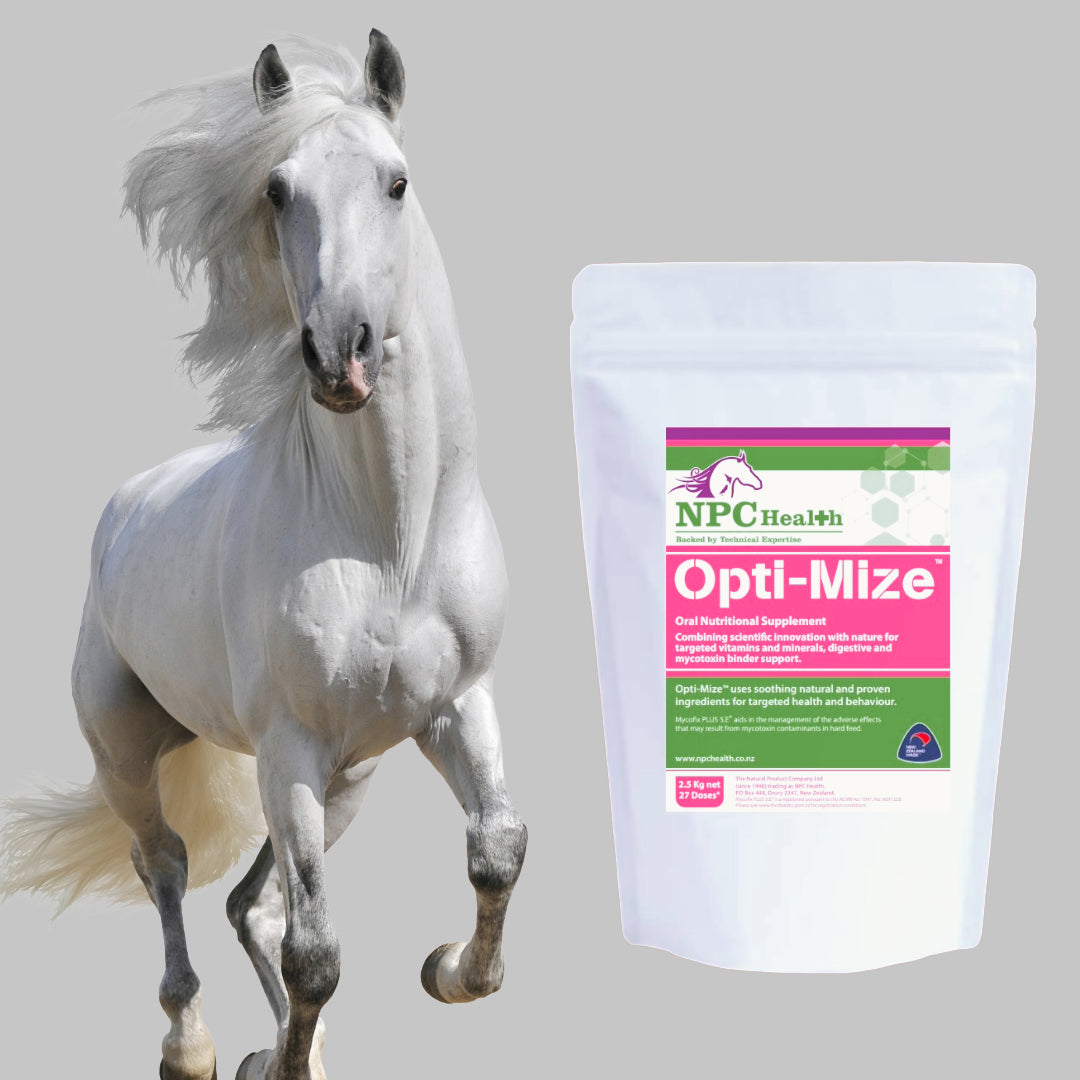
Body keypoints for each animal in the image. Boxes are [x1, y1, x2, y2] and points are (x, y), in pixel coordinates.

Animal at [0, 31, 526, 1080]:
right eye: (278, 190)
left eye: (397, 181)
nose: (339, 356)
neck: (389, 541)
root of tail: (125, 505)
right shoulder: (289, 747)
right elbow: (317, 950)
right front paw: (279, 1057)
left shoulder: (455, 706)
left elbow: (496, 847)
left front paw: (449, 970)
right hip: (129, 753)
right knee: (168, 868)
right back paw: (193, 1046)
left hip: (352, 777)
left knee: (251, 901)